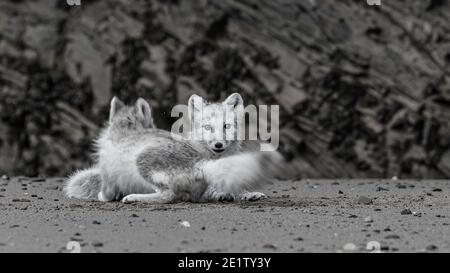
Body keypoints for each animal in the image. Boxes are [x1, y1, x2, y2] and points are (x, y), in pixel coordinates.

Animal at [64, 95, 282, 202]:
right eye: (208, 127)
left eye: (226, 126)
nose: (218, 144)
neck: (126, 131)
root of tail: (198, 163)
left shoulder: (108, 175)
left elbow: (106, 194)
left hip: (142, 162)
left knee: (169, 196)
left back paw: (134, 198)